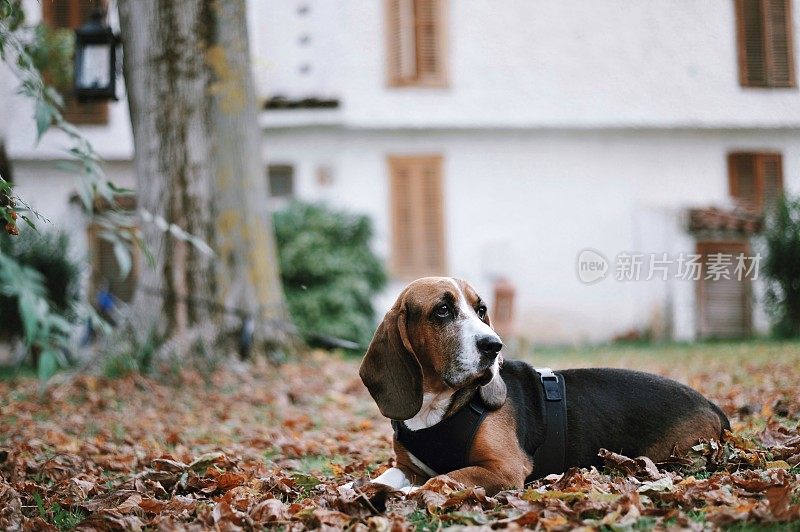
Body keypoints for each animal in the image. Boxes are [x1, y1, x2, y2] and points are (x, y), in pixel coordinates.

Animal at [356, 278, 732, 494]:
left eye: (481, 310)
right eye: (443, 310)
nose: (495, 346)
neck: (437, 408)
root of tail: (712, 405)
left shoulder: (503, 468)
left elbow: (439, 479)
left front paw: (405, 496)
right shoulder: (406, 467)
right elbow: (383, 478)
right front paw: (361, 490)